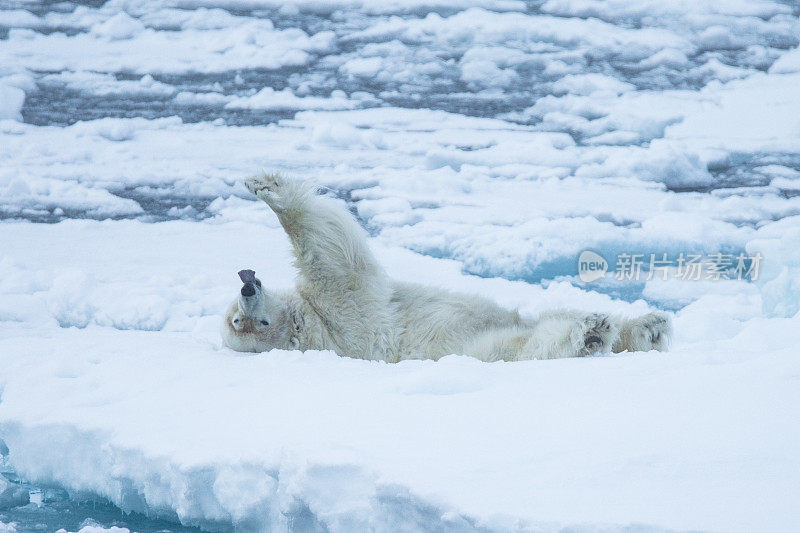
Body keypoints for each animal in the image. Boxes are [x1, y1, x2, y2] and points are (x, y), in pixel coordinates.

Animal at [222, 172, 672, 360]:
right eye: (243, 323)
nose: (247, 286)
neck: (308, 324)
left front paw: (261, 184)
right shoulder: (348, 325)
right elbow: (337, 261)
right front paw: (275, 194)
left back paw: (647, 326)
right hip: (491, 351)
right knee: (536, 341)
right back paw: (593, 333)